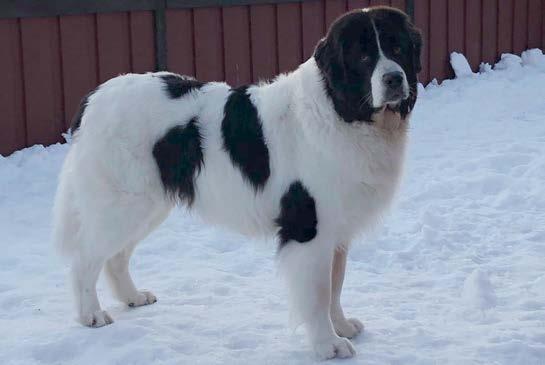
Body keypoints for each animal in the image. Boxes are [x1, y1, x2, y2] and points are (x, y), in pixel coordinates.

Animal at [53, 7, 420, 360]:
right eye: (363, 56)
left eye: (397, 48)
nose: (394, 78)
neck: (341, 110)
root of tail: (94, 97)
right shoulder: (309, 228)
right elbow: (317, 293)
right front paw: (328, 346)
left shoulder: (337, 227)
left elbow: (335, 284)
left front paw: (341, 326)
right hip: (121, 203)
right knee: (86, 258)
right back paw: (91, 315)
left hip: (148, 205)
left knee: (116, 256)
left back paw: (132, 297)